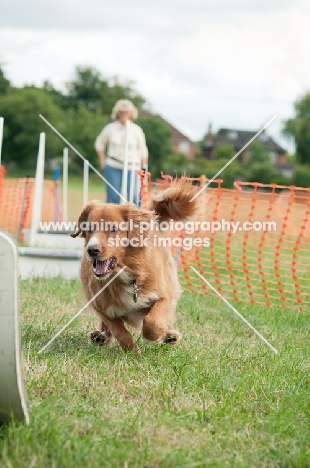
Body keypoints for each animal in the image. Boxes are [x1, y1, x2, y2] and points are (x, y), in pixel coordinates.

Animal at [70, 181, 196, 352]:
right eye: (88, 229)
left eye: (113, 229)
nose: (92, 250)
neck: (125, 273)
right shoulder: (102, 308)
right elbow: (121, 333)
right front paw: (133, 352)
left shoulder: (165, 295)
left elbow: (153, 323)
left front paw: (156, 335)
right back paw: (100, 336)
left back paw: (170, 335)